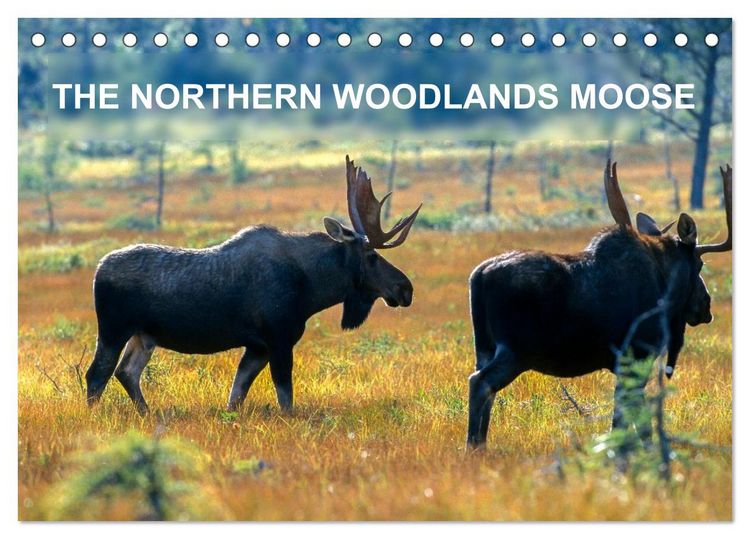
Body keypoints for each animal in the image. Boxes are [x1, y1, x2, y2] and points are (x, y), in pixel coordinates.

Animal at [85, 155, 422, 415]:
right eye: (371, 256)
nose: (405, 288)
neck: (312, 288)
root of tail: (97, 270)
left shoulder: (258, 347)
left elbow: (236, 396)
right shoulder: (279, 339)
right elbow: (285, 400)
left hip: (144, 335)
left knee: (126, 373)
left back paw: (147, 412)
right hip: (114, 329)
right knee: (97, 375)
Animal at [467, 161, 732, 448]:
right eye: (700, 264)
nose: (706, 306)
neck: (665, 286)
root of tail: (479, 275)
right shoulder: (638, 353)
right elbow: (633, 419)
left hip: (485, 347)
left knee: (486, 388)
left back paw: (480, 444)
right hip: (516, 350)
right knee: (480, 383)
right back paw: (472, 446)